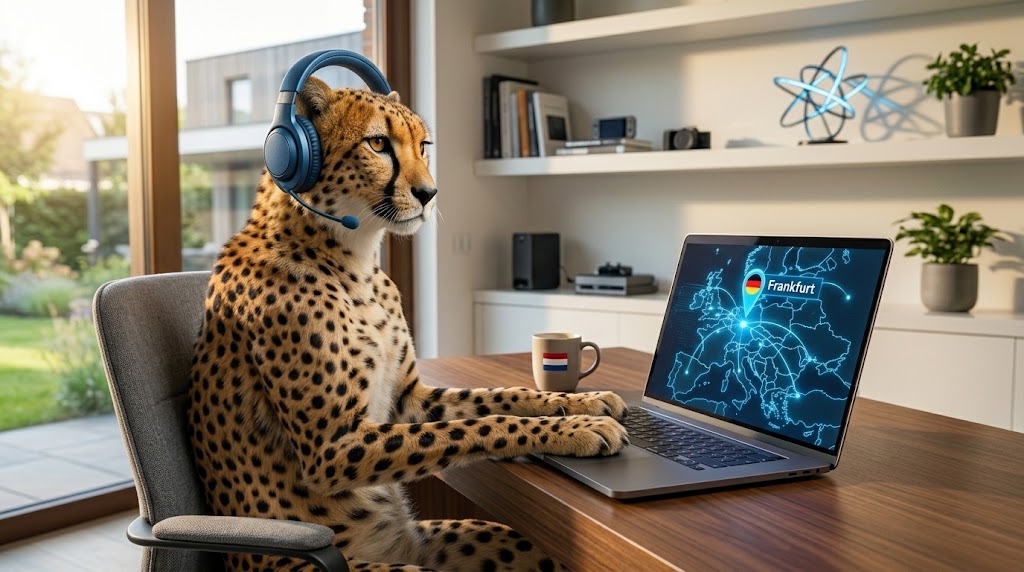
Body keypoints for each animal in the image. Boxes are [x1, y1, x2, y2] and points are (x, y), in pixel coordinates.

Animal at [187, 76, 629, 572]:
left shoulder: (409, 401)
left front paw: (585, 402)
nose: (429, 194)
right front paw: (580, 429)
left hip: (491, 539)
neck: (354, 260)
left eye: (423, 146)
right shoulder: (332, 448)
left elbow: (500, 398)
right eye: (378, 143)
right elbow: (481, 426)